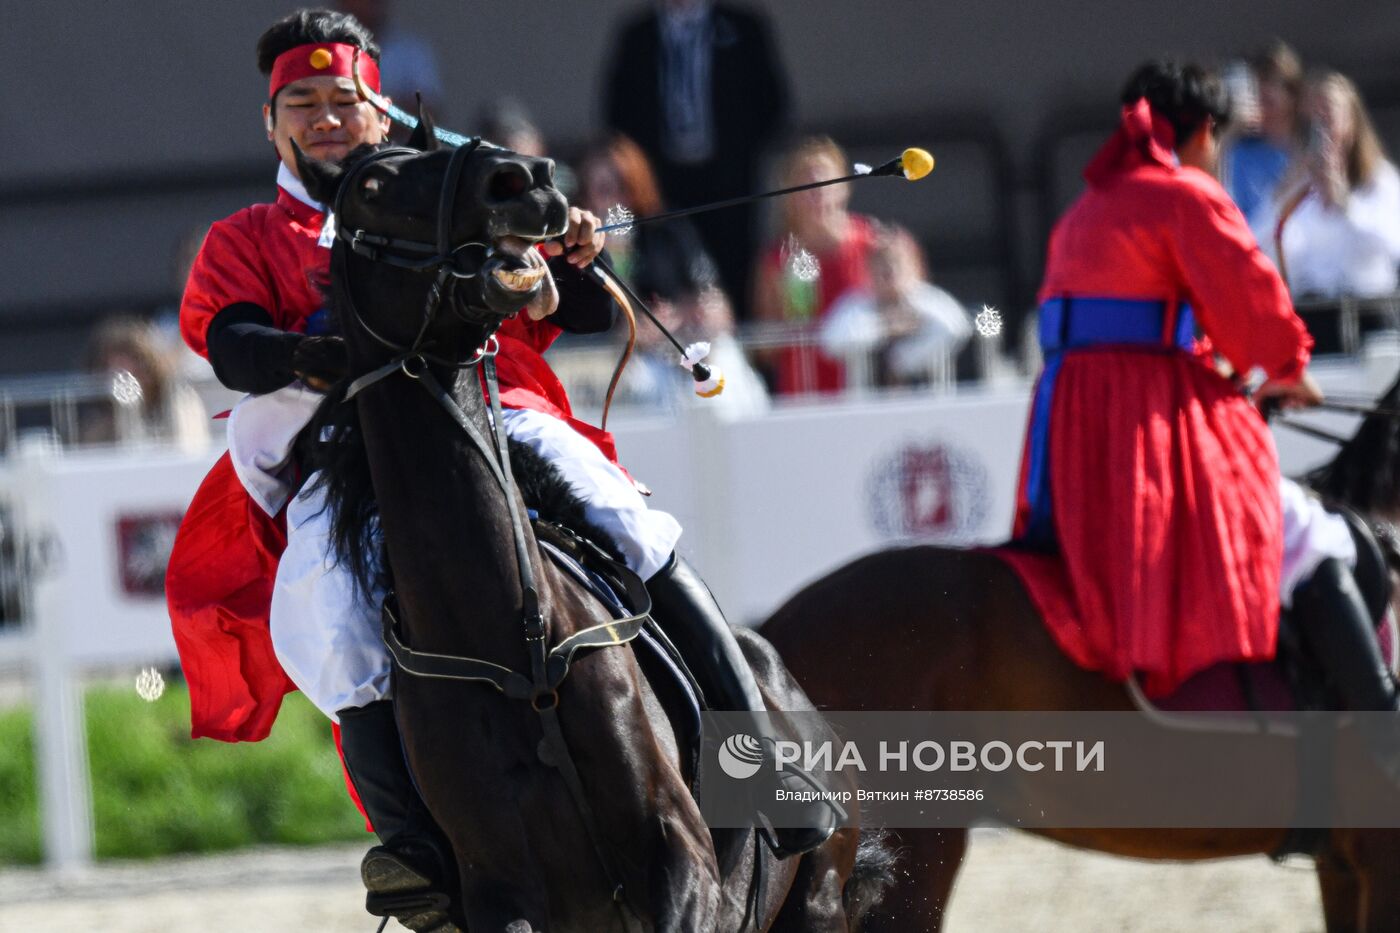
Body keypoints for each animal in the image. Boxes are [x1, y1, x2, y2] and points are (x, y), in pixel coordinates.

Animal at [289, 125, 890, 930]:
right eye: (371, 188)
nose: (524, 179)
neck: (510, 639)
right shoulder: (500, 894)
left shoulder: (680, 861)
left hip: (817, 900)